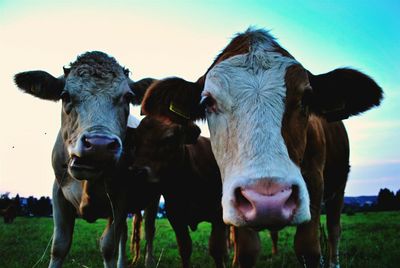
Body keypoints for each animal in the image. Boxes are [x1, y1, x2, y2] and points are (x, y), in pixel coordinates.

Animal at [133, 28, 382, 266]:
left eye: (306, 98)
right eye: (207, 101)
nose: (268, 201)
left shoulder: (314, 181)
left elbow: (308, 249)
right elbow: (245, 251)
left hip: (339, 187)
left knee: (334, 230)